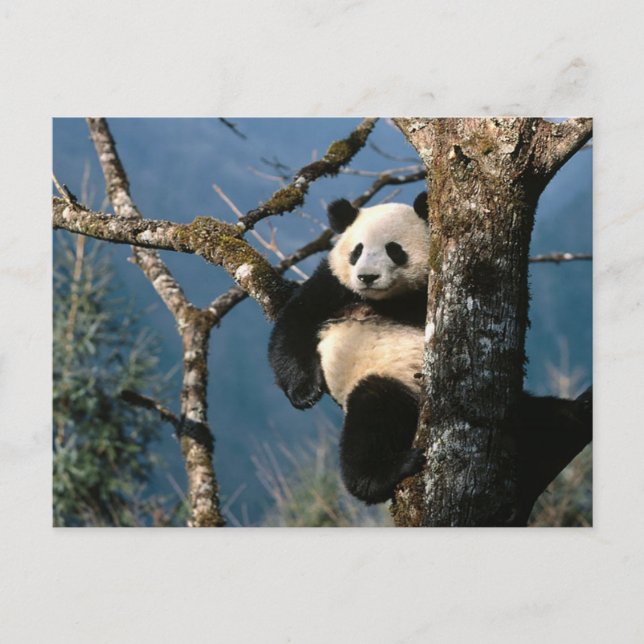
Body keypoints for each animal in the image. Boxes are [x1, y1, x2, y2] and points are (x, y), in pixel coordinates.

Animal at [268, 192, 592, 508]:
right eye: (357, 251)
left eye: (394, 249)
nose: (367, 277)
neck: (387, 299)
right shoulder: (334, 285)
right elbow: (294, 323)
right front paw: (304, 393)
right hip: (387, 381)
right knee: (372, 415)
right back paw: (382, 475)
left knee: (536, 413)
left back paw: (572, 414)